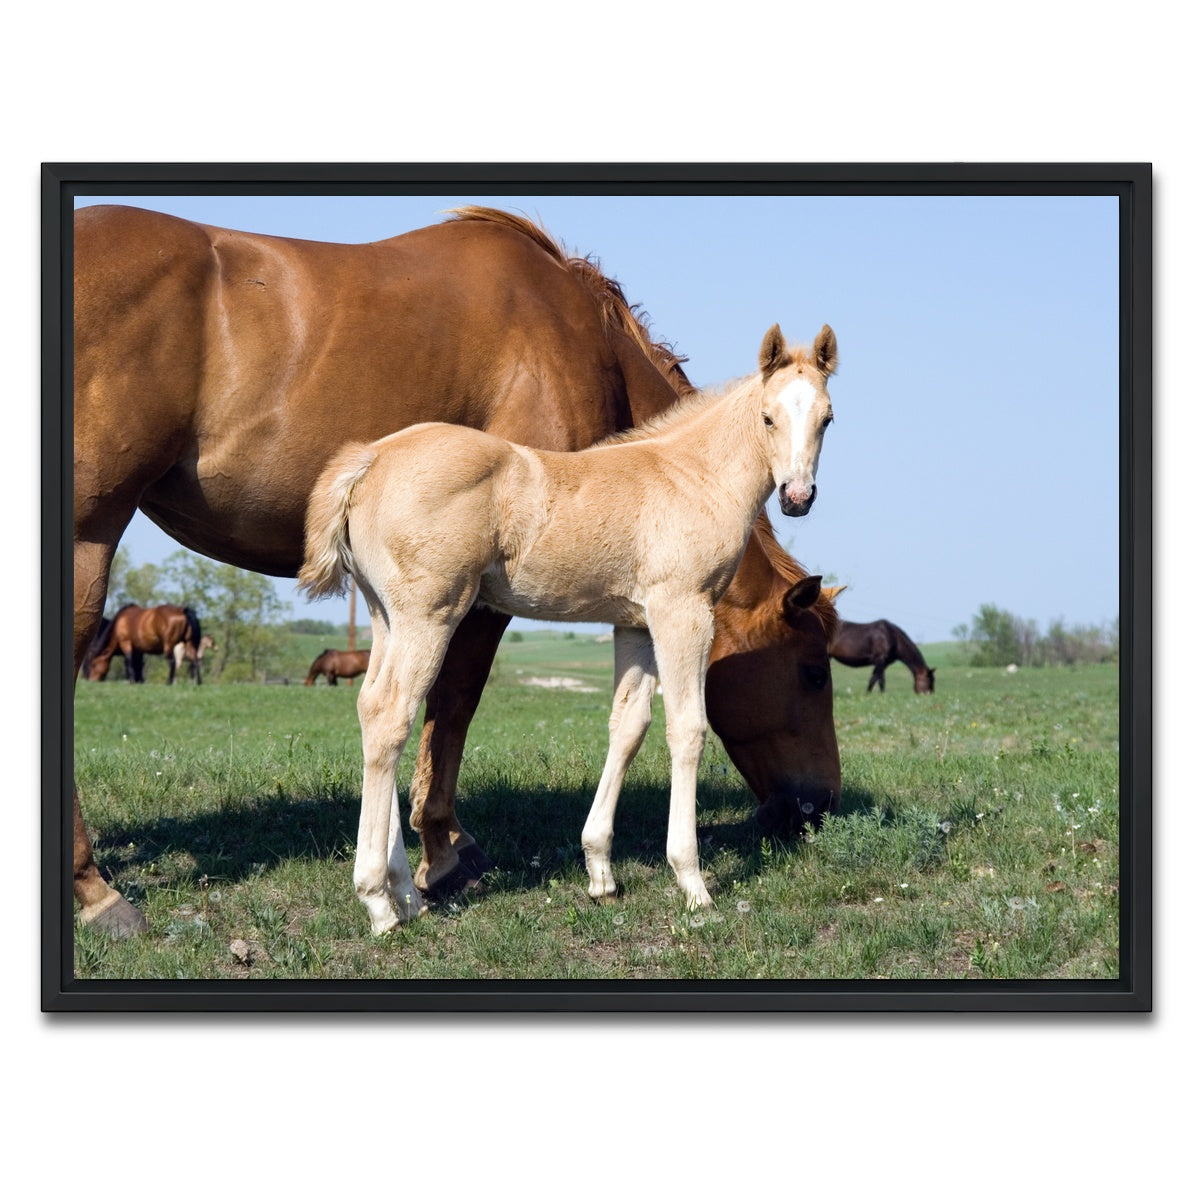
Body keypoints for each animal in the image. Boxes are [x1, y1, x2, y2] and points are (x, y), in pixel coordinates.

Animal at [300, 323, 838, 931]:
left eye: (827, 417)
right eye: (768, 417)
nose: (797, 497)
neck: (692, 478)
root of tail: (370, 457)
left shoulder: (634, 624)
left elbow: (628, 727)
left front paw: (601, 872)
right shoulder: (682, 611)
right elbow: (688, 729)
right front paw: (692, 881)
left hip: (385, 616)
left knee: (371, 707)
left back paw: (407, 897)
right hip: (428, 615)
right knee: (391, 715)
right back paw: (379, 903)